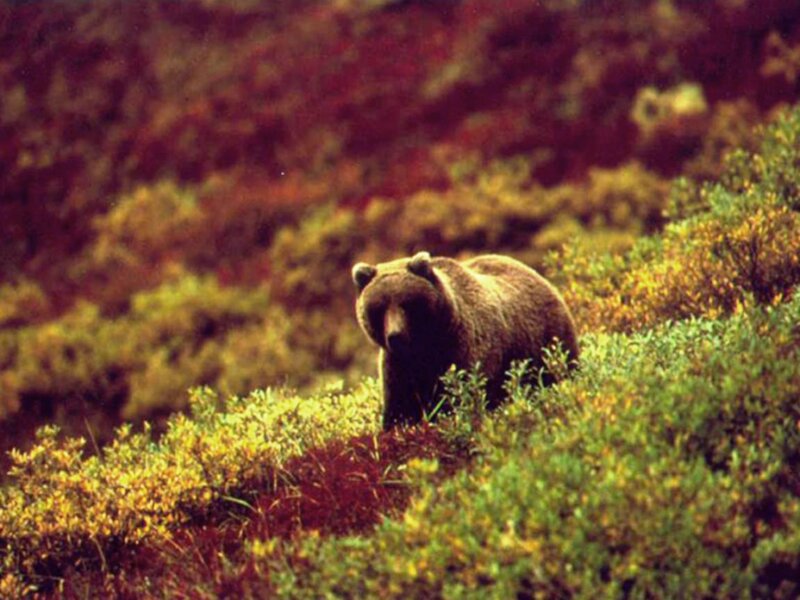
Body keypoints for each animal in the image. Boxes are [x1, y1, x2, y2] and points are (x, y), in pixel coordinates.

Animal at [351, 251, 579, 430]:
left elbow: (467, 393)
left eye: (406, 304)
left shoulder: (465, 347)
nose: (395, 336)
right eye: (380, 308)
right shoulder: (399, 366)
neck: (426, 347)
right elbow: (399, 407)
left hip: (549, 340)